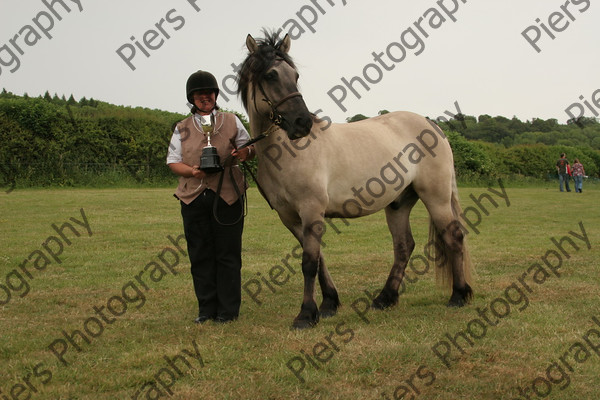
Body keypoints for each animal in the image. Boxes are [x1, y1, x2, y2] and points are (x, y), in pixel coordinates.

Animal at [237, 32, 472, 330]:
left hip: (436, 198)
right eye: (270, 75)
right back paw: (385, 298)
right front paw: (328, 304)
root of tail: (435, 127)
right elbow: (318, 259)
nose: (302, 124)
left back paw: (459, 295)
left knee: (453, 237)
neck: (287, 152)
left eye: (295, 75)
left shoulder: (311, 210)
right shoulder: (290, 217)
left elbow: (309, 263)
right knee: (403, 246)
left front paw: (306, 314)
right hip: (399, 203)